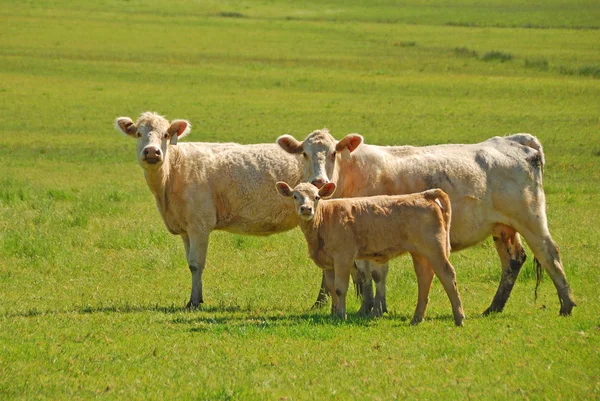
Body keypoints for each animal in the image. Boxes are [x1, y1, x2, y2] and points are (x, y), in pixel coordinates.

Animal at [276, 181, 464, 324]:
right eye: (295, 196)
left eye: (317, 197)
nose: (306, 209)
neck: (325, 219)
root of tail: (424, 194)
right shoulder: (328, 263)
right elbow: (331, 287)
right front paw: (334, 314)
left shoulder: (343, 257)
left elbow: (340, 288)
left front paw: (341, 316)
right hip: (419, 253)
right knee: (425, 278)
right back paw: (417, 318)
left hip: (434, 248)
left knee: (447, 275)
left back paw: (459, 317)